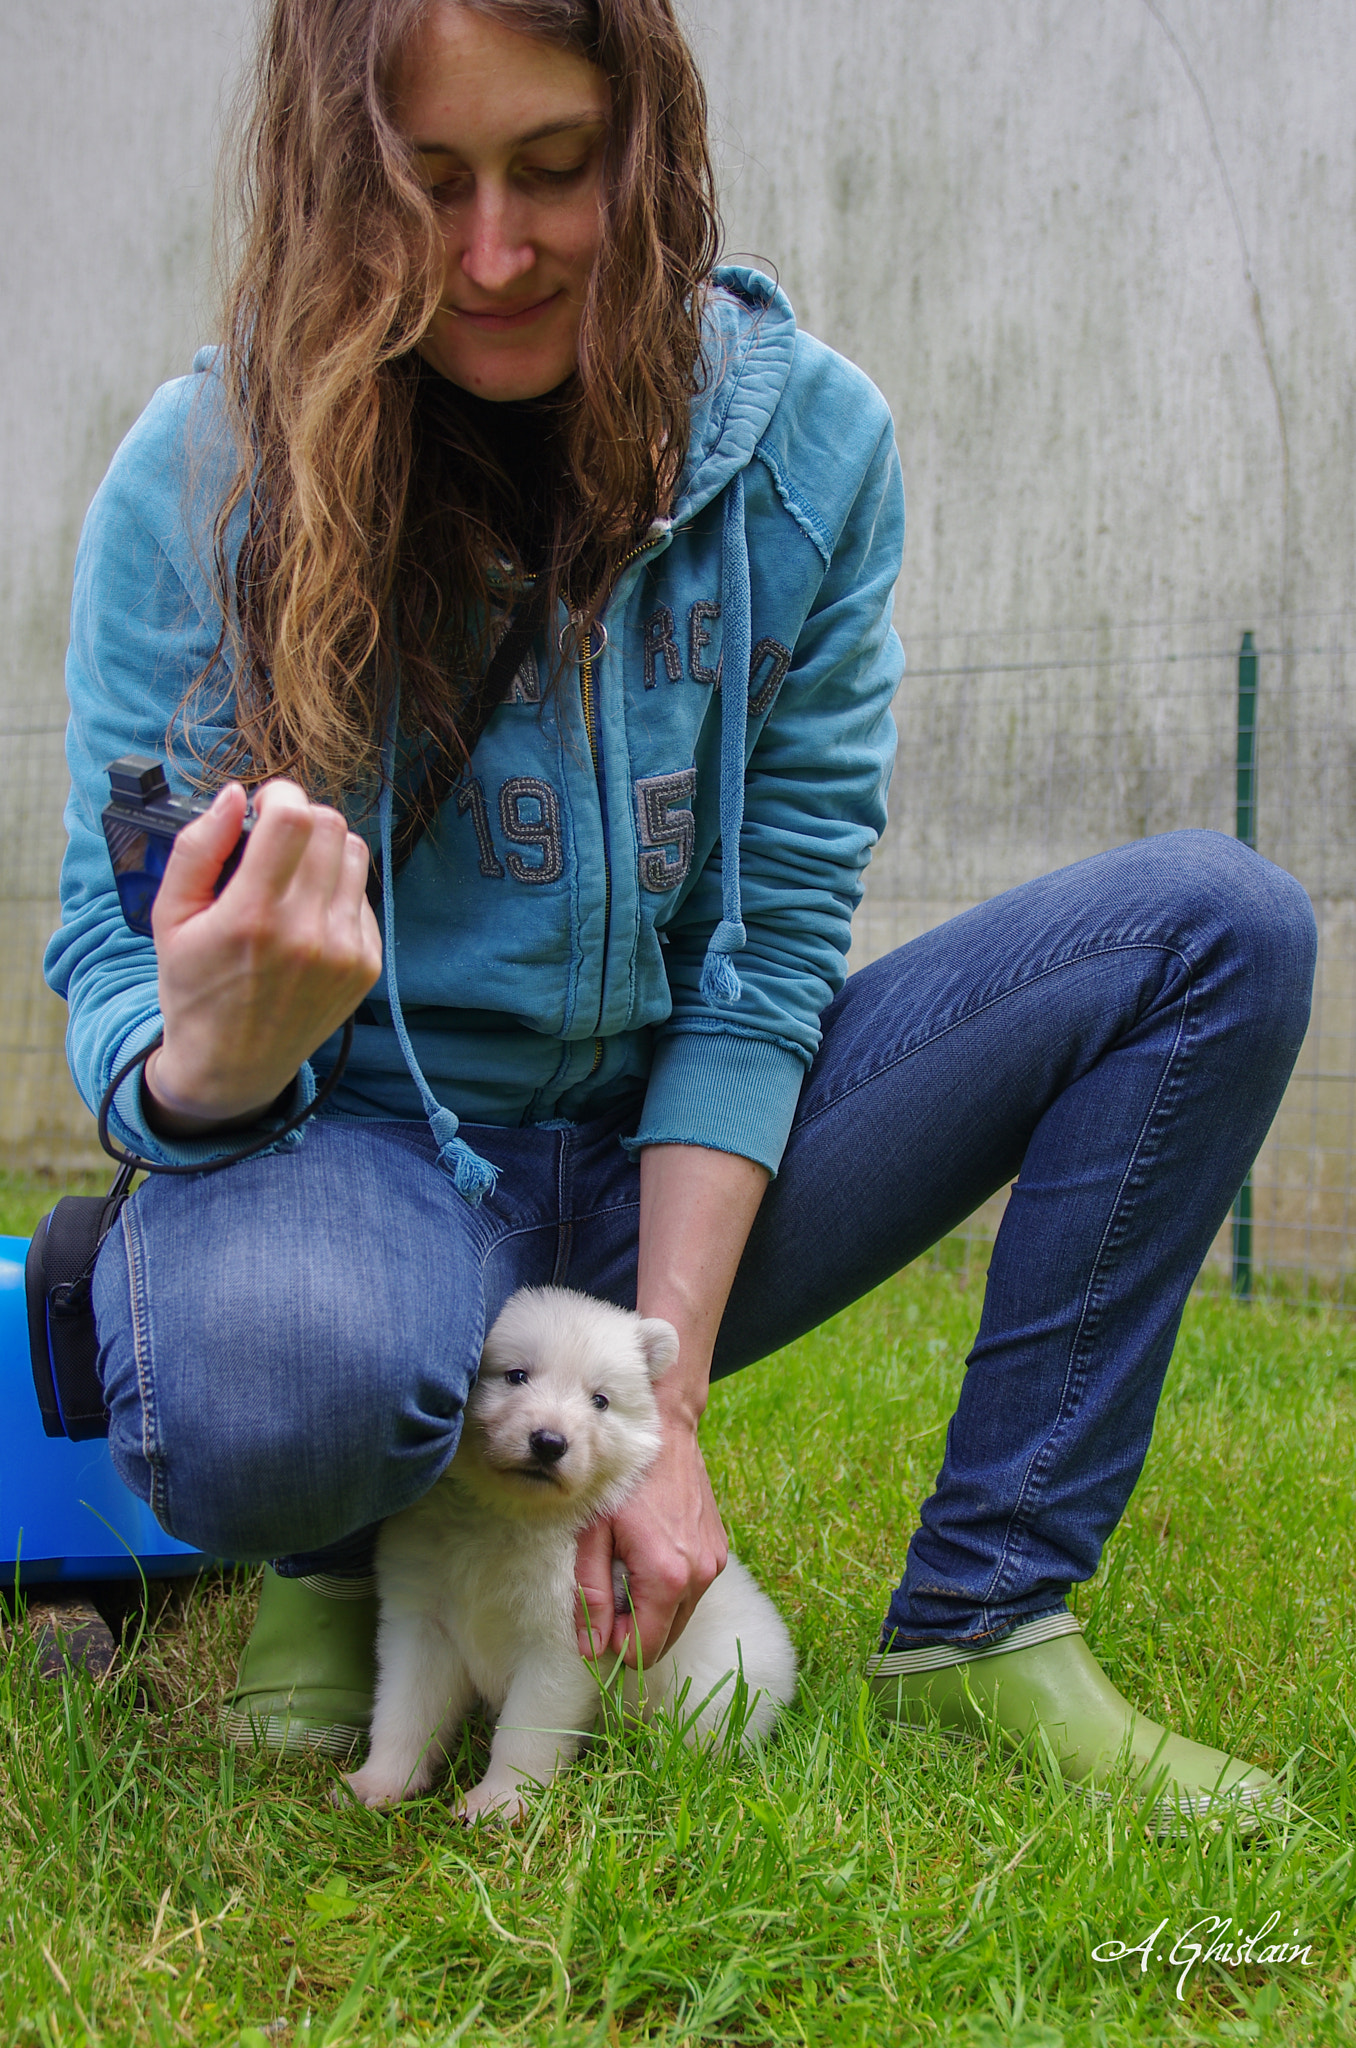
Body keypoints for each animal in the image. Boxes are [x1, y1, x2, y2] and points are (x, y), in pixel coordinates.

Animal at [346, 1286, 802, 1818]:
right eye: (515, 1375)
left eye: (600, 1400)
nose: (549, 1442)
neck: (510, 1515)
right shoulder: (423, 1615)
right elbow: (406, 1707)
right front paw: (378, 1783)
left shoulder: (568, 1638)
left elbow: (529, 1726)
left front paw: (499, 1802)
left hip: (717, 1685)